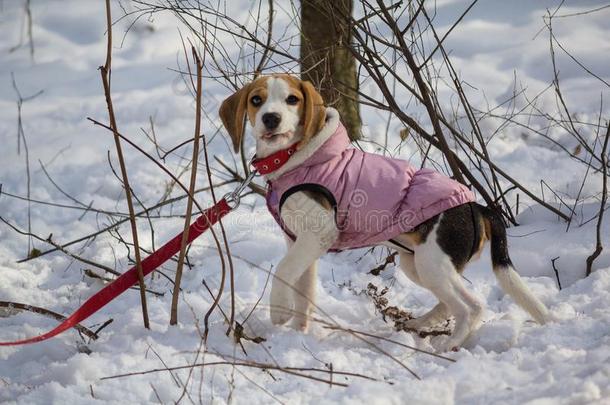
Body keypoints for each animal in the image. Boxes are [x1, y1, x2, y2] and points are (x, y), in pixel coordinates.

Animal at [217, 74, 548, 352]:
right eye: (256, 100)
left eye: (292, 99)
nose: (270, 119)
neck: (293, 159)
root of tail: (474, 206)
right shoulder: (299, 242)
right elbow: (303, 289)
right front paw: (299, 331)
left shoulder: (319, 235)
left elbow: (283, 271)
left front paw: (277, 312)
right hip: (419, 265)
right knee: (449, 303)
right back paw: (421, 323)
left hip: (433, 264)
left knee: (472, 306)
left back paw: (449, 344)